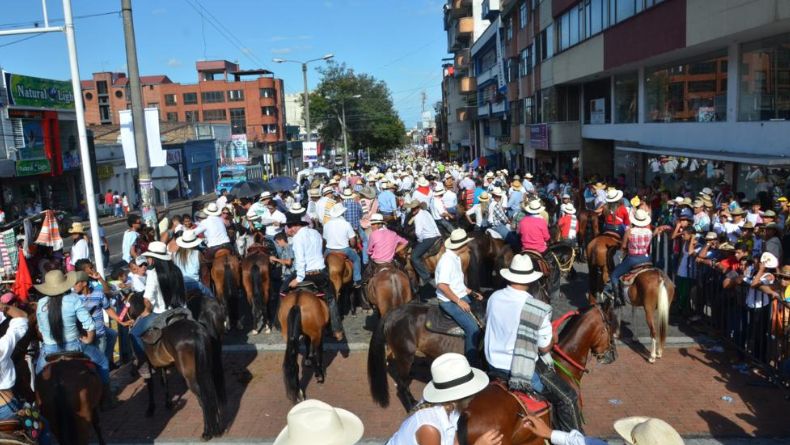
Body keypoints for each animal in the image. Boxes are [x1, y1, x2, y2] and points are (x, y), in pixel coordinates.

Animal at [127, 294, 226, 438]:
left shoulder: (146, 363)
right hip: (207, 366)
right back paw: (217, 428)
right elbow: (164, 380)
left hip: (191, 377)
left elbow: (150, 385)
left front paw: (151, 408)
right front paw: (168, 403)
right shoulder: (163, 363)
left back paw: (208, 432)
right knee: (212, 393)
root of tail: (195, 331)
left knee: (203, 399)